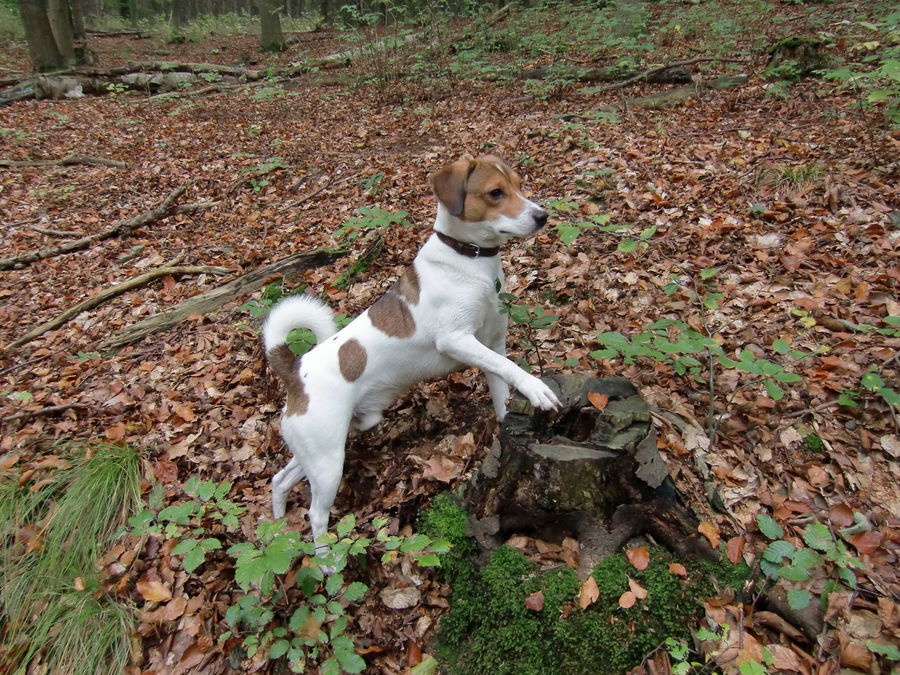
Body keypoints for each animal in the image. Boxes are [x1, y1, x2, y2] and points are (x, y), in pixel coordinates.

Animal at [260, 156, 560, 552]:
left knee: (279, 481)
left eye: (519, 185)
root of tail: (295, 370)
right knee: (316, 516)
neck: (470, 262)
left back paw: (279, 530)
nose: (542, 215)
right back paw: (327, 560)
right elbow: (512, 368)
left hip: (322, 447)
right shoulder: (456, 340)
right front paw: (536, 388)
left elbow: (502, 385)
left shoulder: (493, 343)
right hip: (327, 463)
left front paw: (508, 418)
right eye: (496, 192)